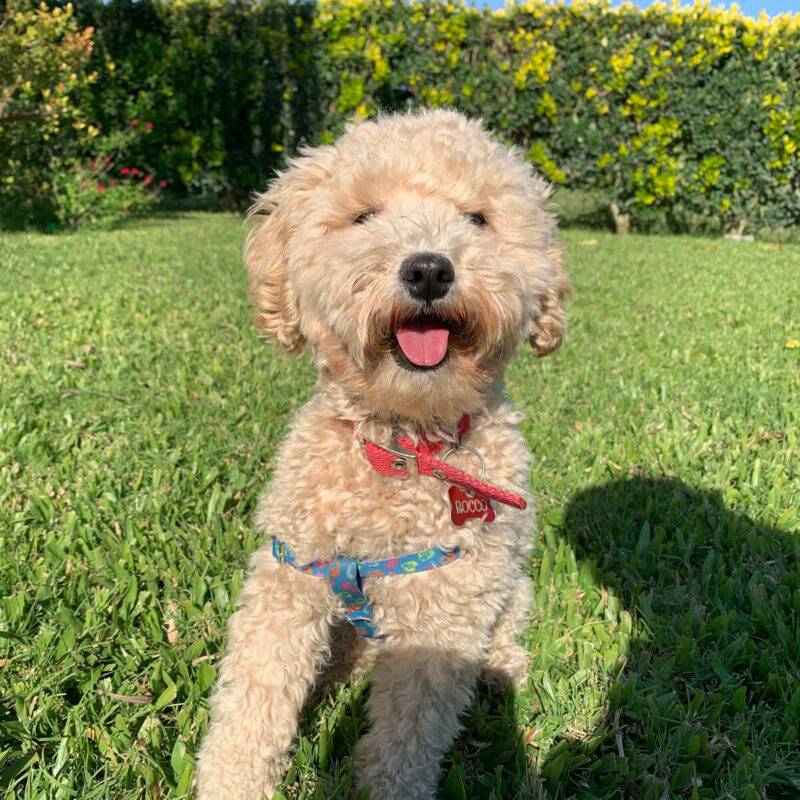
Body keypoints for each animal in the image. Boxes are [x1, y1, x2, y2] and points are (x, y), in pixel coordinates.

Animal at [194, 108, 568, 800]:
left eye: (477, 218)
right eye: (364, 215)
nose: (429, 269)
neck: (400, 444)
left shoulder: (444, 608)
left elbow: (406, 735)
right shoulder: (291, 578)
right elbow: (254, 697)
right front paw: (231, 780)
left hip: (511, 587)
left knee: (504, 630)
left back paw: (503, 670)